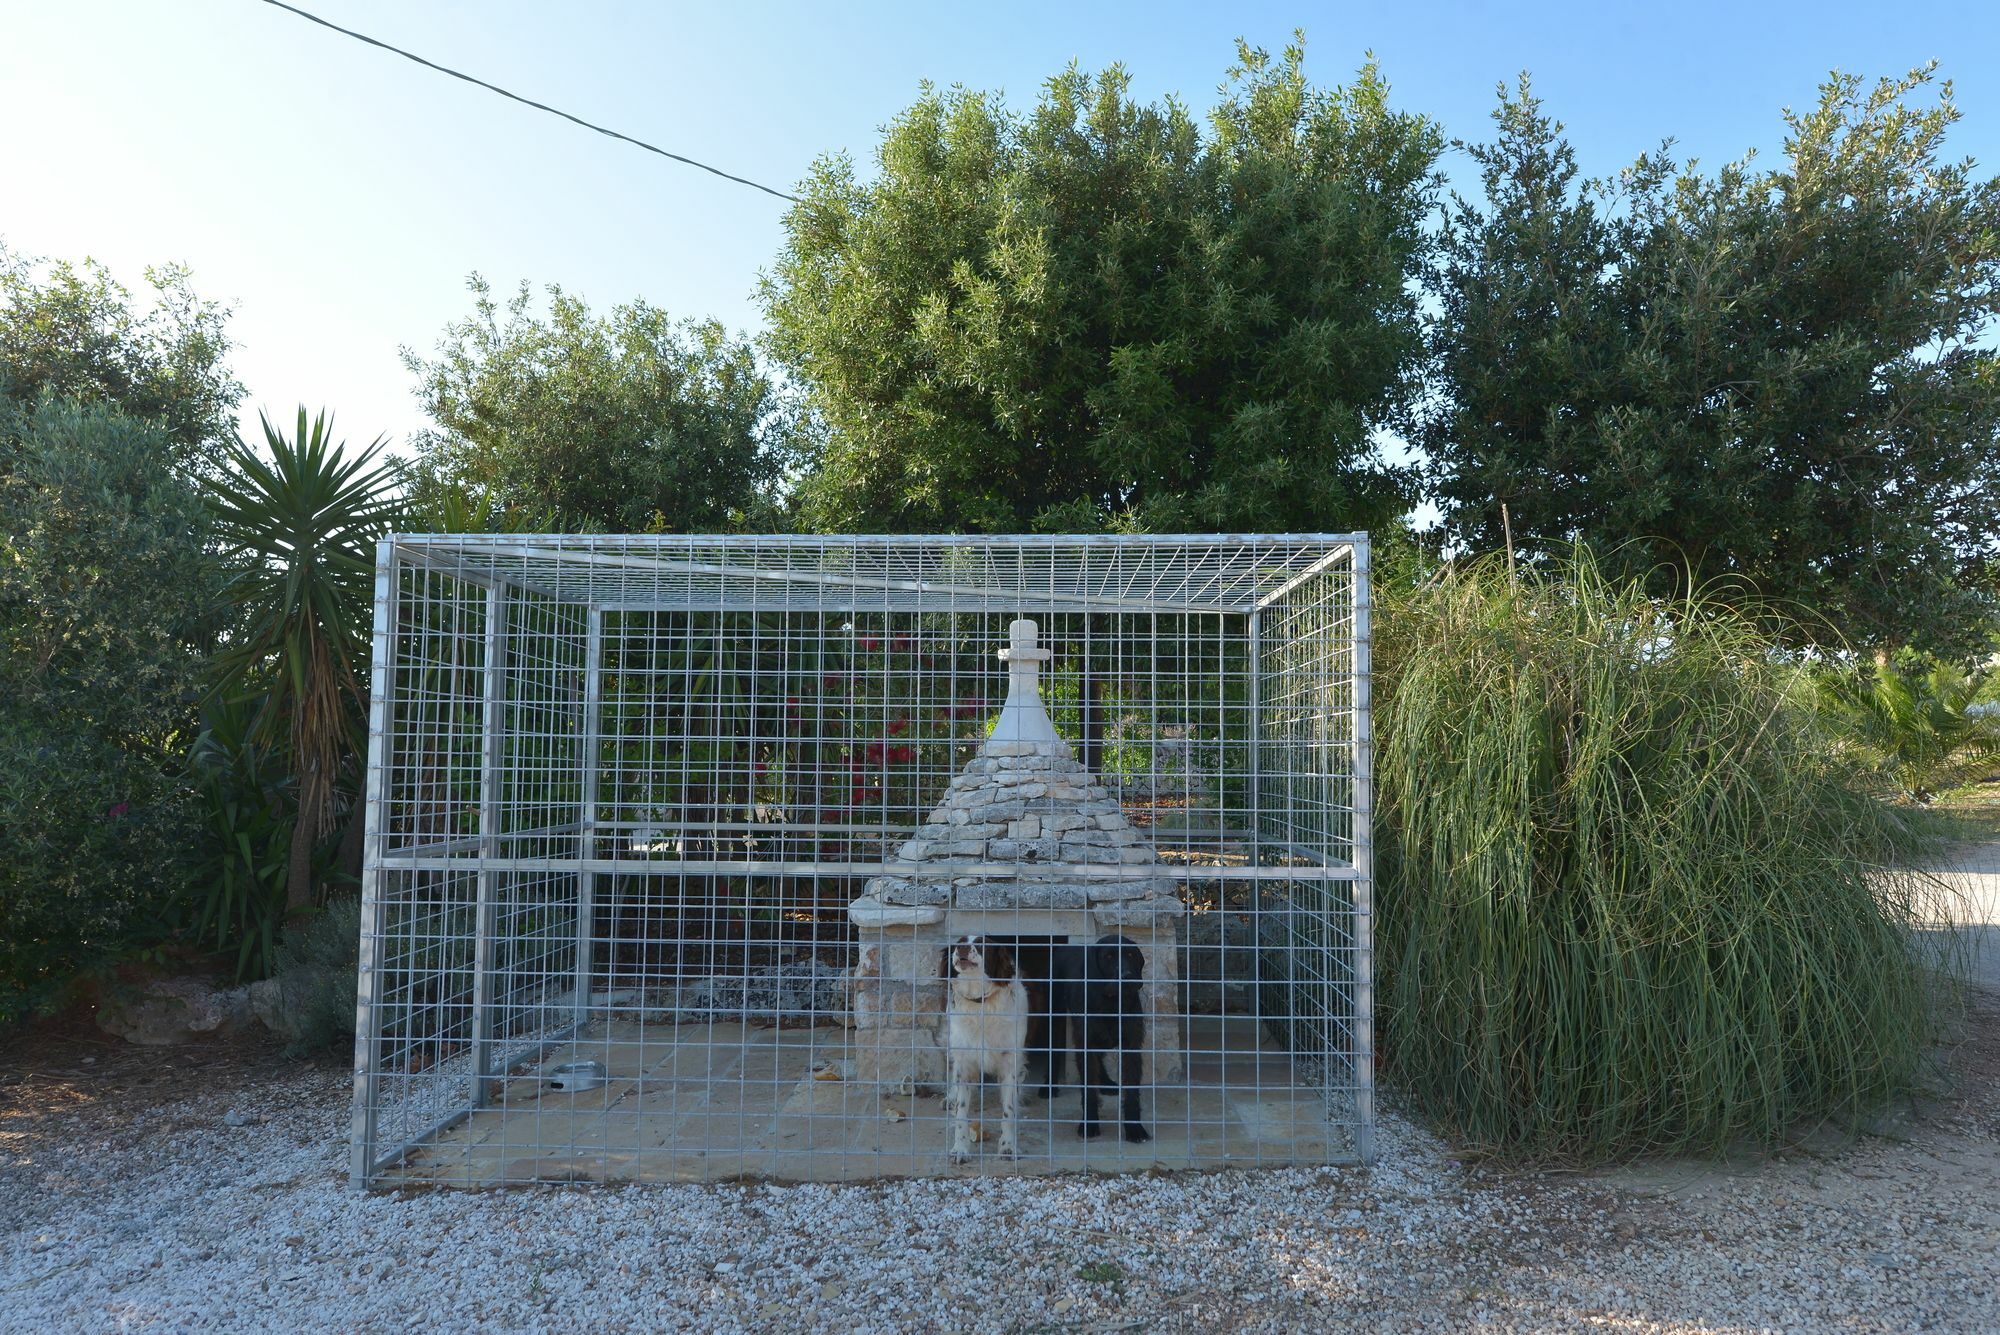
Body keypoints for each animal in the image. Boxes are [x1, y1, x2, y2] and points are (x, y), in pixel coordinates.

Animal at [940, 935, 1024, 1159]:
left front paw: (1008, 1146)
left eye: (981, 944)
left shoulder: (1010, 1063)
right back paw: (950, 1098)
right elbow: (961, 1112)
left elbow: (1009, 1110)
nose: (962, 948)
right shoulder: (964, 1062)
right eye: (959, 941)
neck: (981, 1005)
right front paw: (960, 1148)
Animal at [1048, 935, 1144, 1143]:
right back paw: (1047, 1087)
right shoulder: (1085, 1044)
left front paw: (1134, 1128)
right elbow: (1088, 1090)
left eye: (1130, 954)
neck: (1111, 1003)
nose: (1127, 977)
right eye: (1108, 956)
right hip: (1055, 1016)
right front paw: (1089, 1124)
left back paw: (1106, 1083)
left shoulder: (1132, 1047)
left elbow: (1132, 1091)